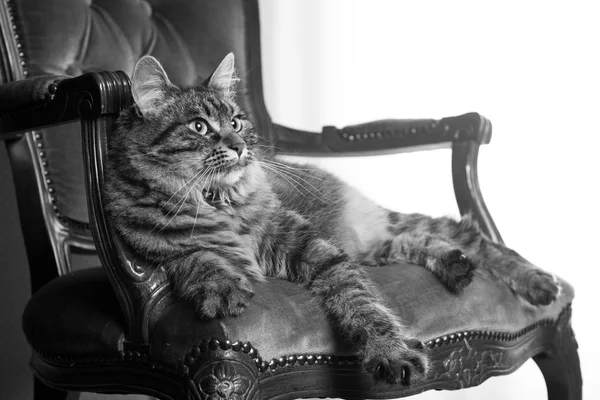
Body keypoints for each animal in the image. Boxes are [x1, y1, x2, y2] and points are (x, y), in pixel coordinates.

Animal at [105, 53, 560, 384]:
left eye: (235, 121)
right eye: (199, 127)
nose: (238, 146)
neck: (219, 201)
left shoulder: (310, 246)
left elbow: (361, 301)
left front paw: (390, 352)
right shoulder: (154, 251)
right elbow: (195, 258)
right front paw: (221, 287)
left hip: (359, 234)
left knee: (466, 237)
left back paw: (536, 282)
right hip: (370, 245)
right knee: (417, 242)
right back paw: (455, 267)